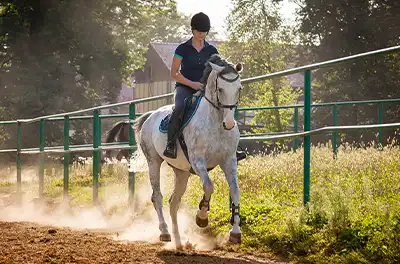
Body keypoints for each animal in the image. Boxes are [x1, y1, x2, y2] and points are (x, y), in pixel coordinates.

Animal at [133, 54, 242, 249]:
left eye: (239, 89)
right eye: (220, 89)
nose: (229, 124)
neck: (215, 122)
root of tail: (150, 115)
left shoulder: (229, 160)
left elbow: (235, 190)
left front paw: (235, 232)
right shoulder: (198, 161)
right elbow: (209, 186)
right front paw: (202, 217)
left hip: (181, 172)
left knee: (173, 203)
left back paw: (178, 242)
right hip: (154, 162)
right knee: (157, 197)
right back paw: (165, 232)